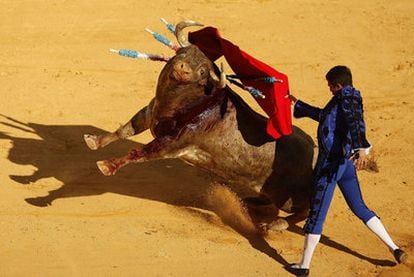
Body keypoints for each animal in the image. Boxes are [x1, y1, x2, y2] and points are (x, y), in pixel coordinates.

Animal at [84, 21, 314, 232]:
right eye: (184, 53)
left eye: (203, 71)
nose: (183, 69)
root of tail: (315, 149)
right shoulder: (150, 113)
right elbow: (125, 129)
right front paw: (94, 141)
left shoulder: (173, 143)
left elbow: (140, 152)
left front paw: (106, 166)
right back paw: (254, 202)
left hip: (290, 196)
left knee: (305, 211)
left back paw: (274, 225)